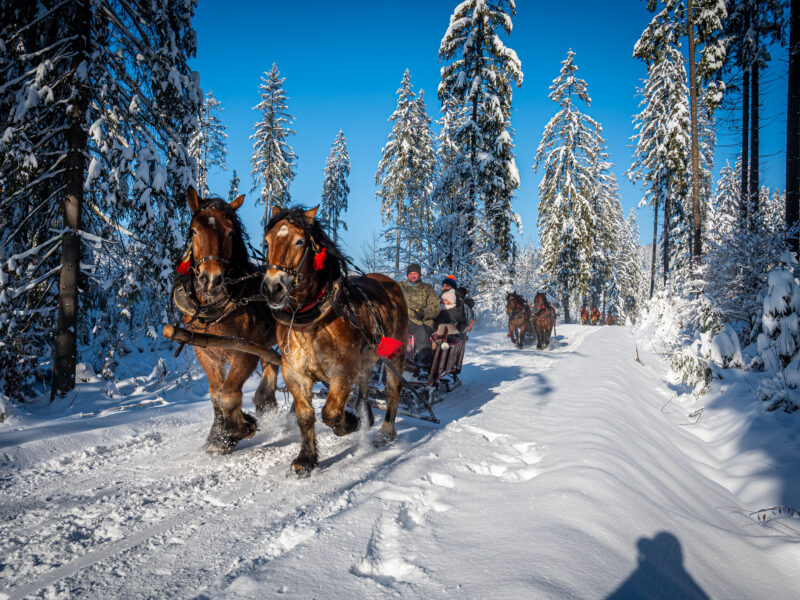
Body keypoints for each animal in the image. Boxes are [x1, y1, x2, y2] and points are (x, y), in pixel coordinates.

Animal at [173, 185, 280, 452]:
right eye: (194, 231)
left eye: (231, 232)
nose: (211, 280)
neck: (217, 311)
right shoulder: (206, 352)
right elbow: (215, 393)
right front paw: (218, 437)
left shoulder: (245, 352)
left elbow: (228, 393)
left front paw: (237, 429)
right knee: (272, 362)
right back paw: (266, 400)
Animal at [262, 204, 410, 476]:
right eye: (267, 242)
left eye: (300, 241)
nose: (271, 288)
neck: (310, 323)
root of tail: (390, 281)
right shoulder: (294, 372)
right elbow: (305, 416)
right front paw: (306, 459)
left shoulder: (343, 370)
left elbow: (330, 412)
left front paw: (349, 422)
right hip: (365, 359)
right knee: (364, 386)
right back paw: (366, 415)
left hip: (395, 354)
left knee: (393, 390)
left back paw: (385, 433)